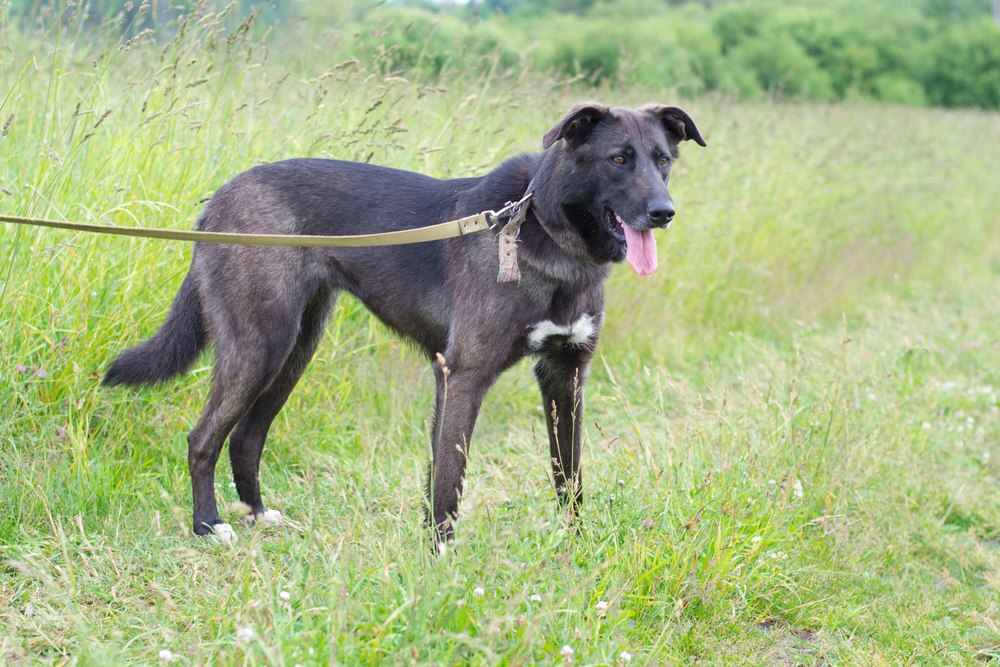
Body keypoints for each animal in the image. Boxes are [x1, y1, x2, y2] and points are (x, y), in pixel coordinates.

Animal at [103, 102, 704, 544]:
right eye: (618, 159)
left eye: (663, 159)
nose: (664, 212)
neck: (545, 228)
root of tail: (218, 200)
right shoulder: (463, 373)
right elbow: (449, 477)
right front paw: (439, 554)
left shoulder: (564, 374)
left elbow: (568, 475)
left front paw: (576, 544)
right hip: (259, 345)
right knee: (203, 437)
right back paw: (209, 525)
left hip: (296, 347)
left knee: (248, 436)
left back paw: (257, 512)